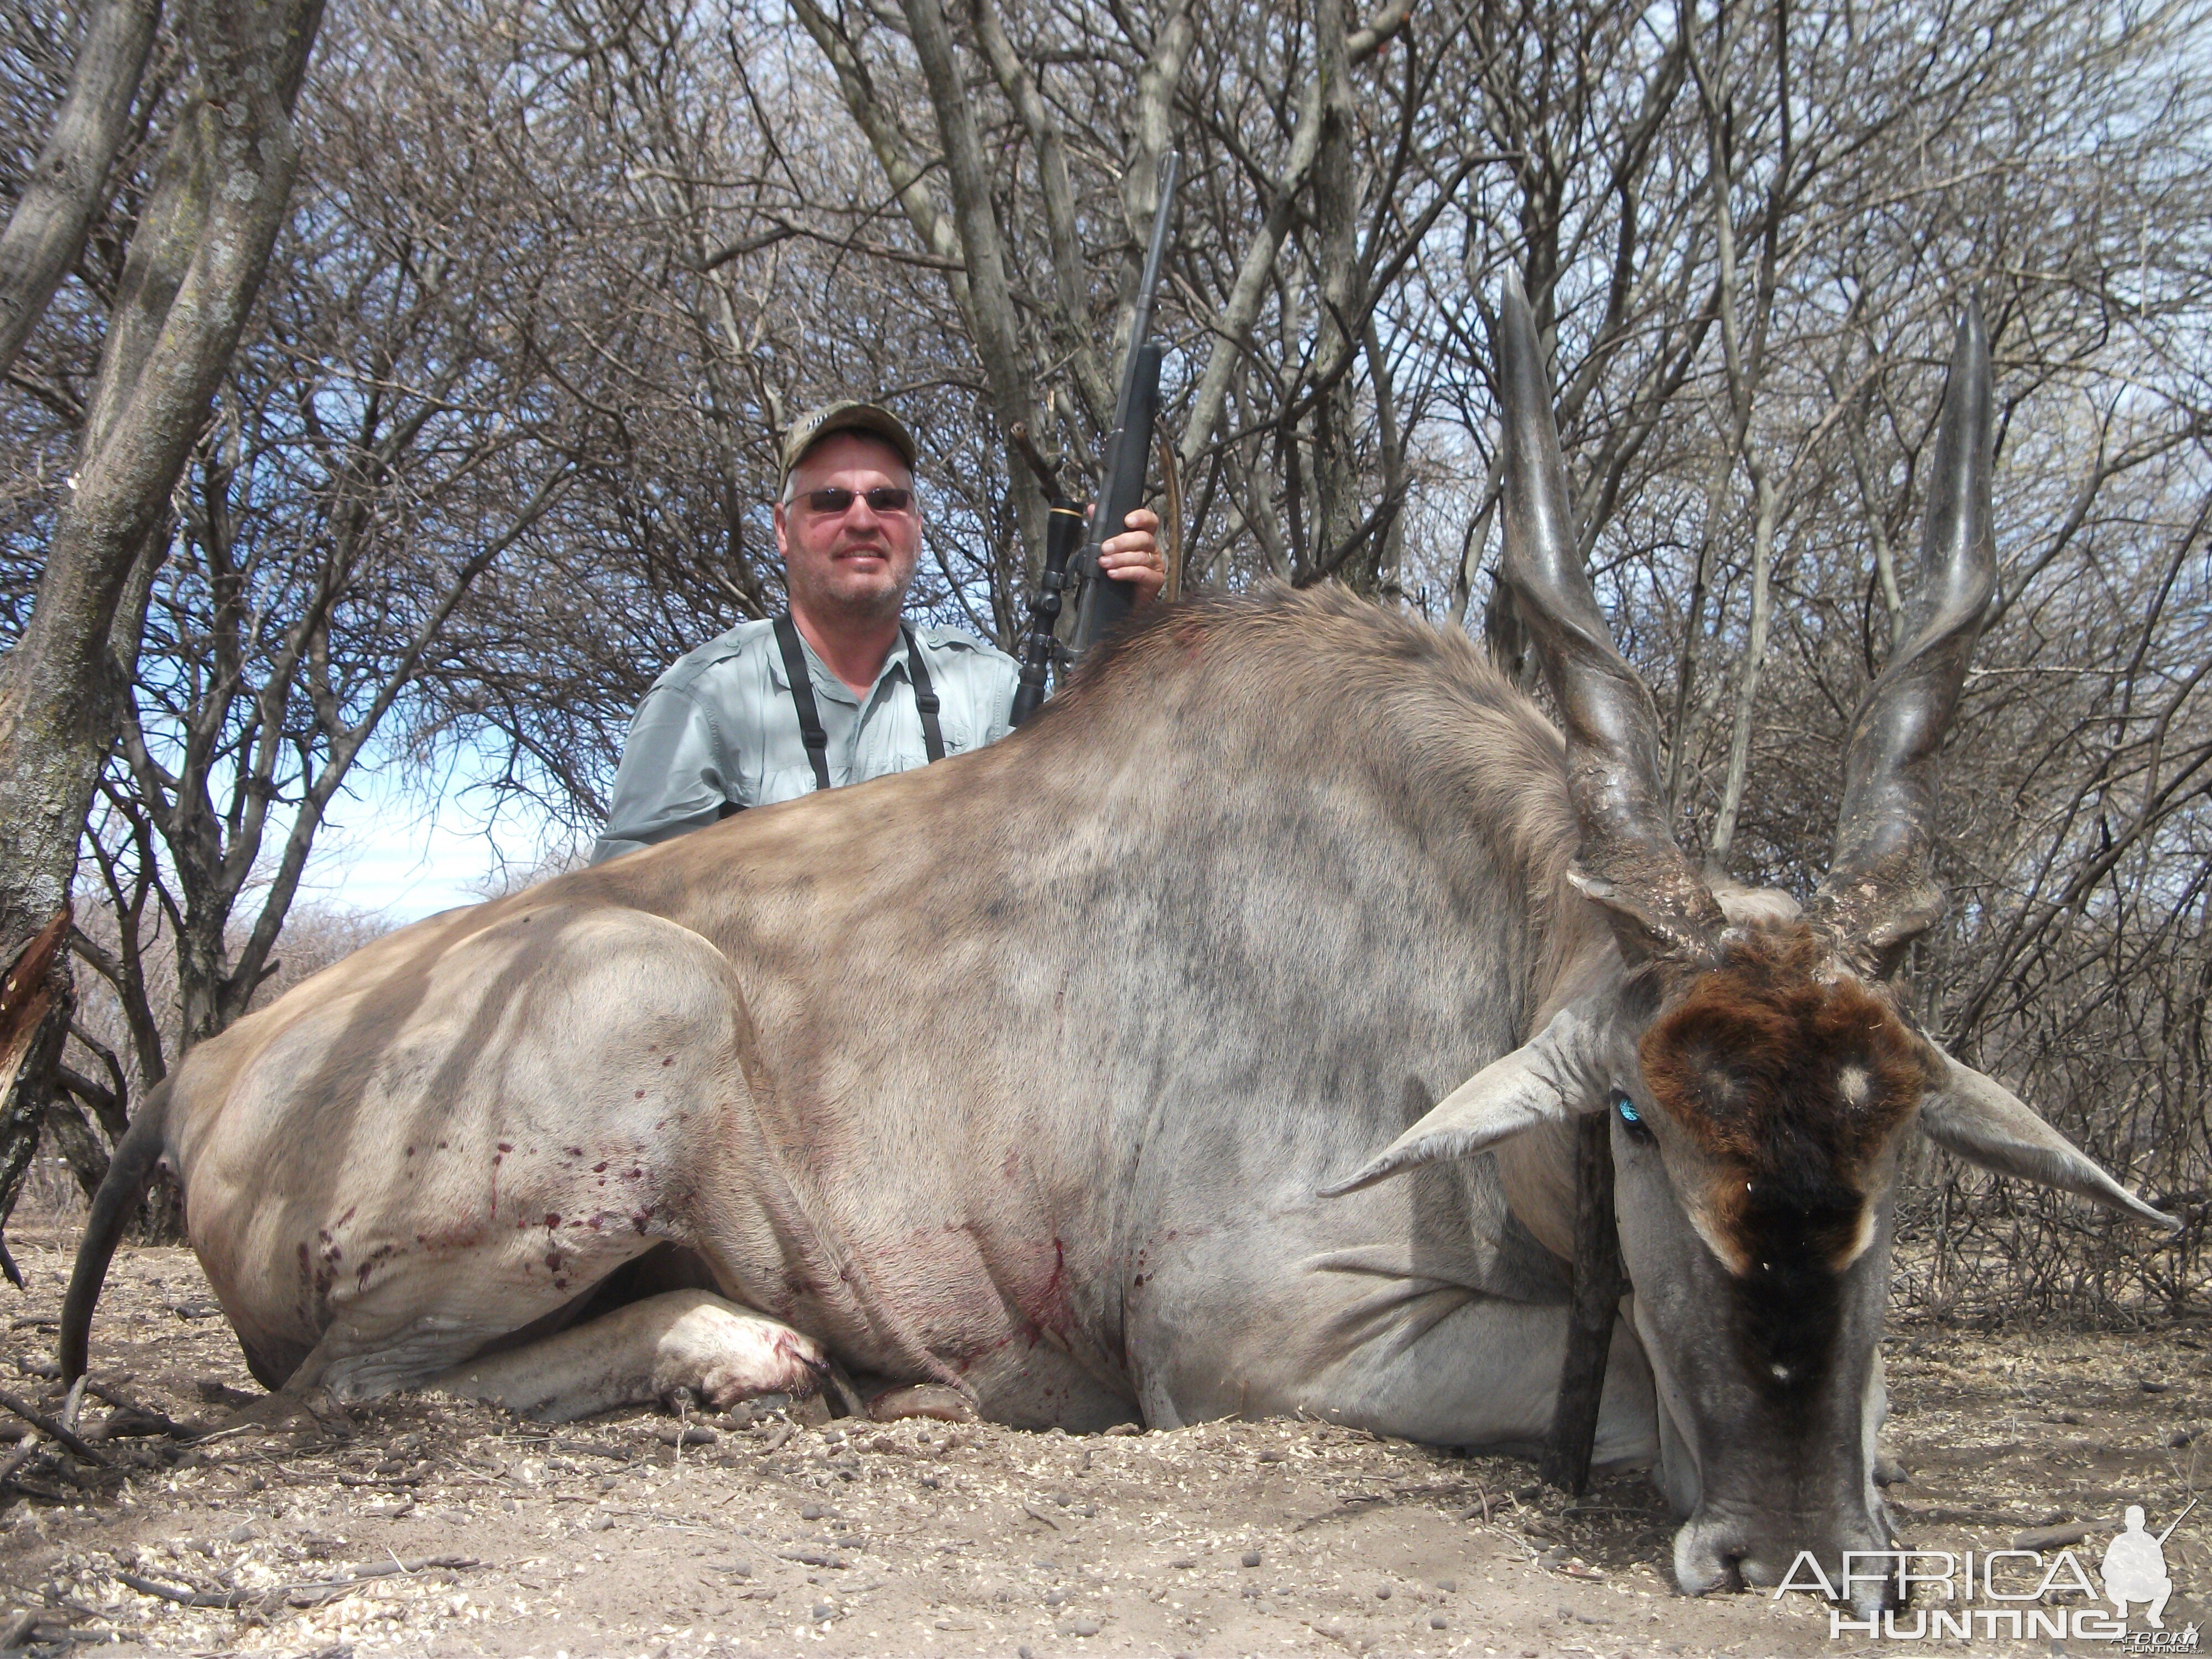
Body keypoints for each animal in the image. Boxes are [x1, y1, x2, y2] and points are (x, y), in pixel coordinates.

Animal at [65, 290, 2159, 1610]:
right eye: (1638, 1123)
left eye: (1894, 1128)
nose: (1791, 1546)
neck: (1464, 927)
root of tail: (204, 1068)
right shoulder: (1246, 1332)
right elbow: (1642, 1392)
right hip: (625, 1013)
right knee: (352, 1384)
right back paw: (781, 1356)